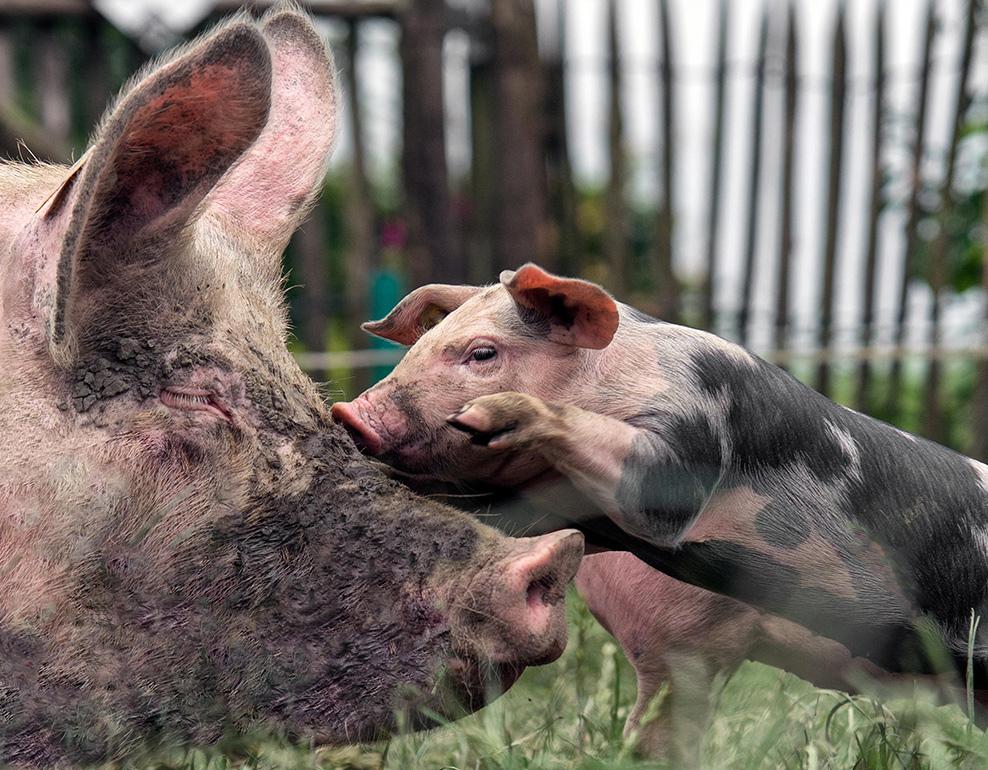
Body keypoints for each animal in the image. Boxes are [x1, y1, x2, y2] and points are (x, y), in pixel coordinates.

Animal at [334, 260, 988, 752]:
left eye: (482, 354)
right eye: (418, 347)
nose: (351, 413)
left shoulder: (690, 438)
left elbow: (651, 484)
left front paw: (487, 415)